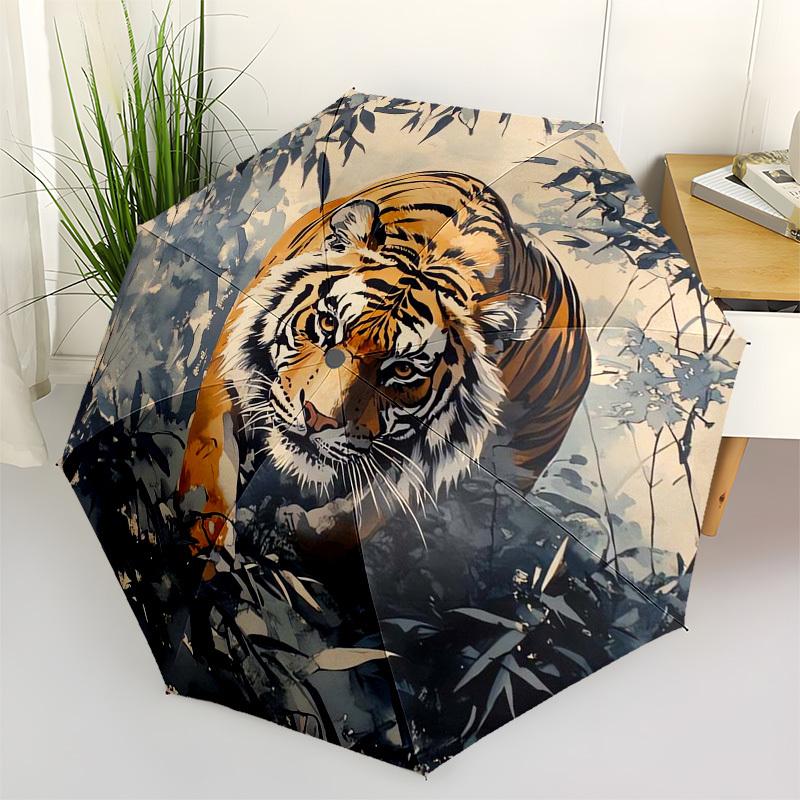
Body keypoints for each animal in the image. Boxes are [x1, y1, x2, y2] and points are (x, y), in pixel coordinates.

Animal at [177, 171, 591, 554]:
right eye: (329, 324)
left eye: (403, 369)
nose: (317, 419)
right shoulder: (227, 384)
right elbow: (210, 470)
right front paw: (209, 542)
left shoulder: (413, 475)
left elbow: (348, 522)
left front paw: (287, 528)